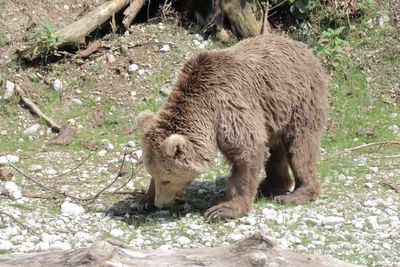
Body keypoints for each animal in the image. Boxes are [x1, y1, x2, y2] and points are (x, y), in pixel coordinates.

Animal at [136, 34, 326, 222]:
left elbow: (248, 152)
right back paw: (271, 185)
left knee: (300, 148)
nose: (160, 203)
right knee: (275, 149)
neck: (204, 109)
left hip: (299, 100)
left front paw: (222, 209)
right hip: (274, 112)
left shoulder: (229, 108)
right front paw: (144, 201)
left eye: (167, 179)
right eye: (155, 175)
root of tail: (304, 48)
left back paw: (296, 193)